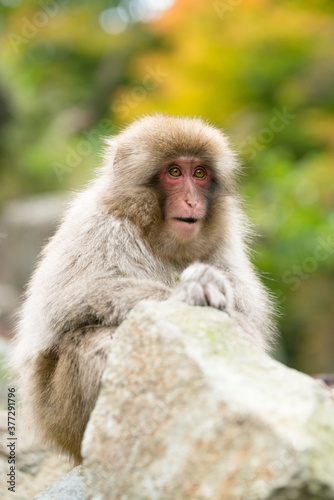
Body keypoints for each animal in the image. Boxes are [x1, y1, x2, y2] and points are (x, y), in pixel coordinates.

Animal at [11, 115, 276, 462]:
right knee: (98, 338)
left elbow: (247, 323)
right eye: (174, 172)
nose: (192, 200)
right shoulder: (95, 224)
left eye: (199, 173)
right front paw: (185, 293)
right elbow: (69, 299)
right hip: (56, 413)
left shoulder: (225, 243)